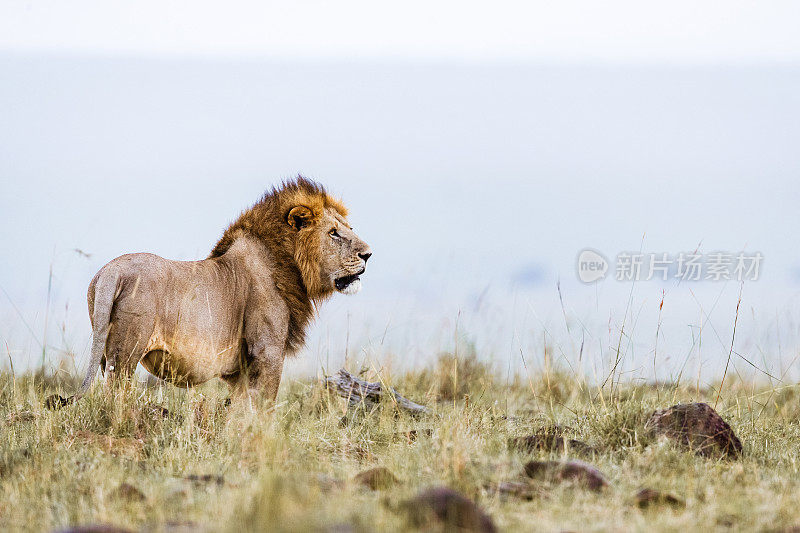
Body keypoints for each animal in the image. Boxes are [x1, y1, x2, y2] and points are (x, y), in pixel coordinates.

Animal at [54, 176, 372, 404]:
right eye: (334, 233)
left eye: (349, 228)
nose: (369, 254)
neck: (289, 264)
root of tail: (110, 272)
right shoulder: (266, 351)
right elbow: (264, 407)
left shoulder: (239, 368)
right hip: (126, 352)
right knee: (115, 392)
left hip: (104, 346)